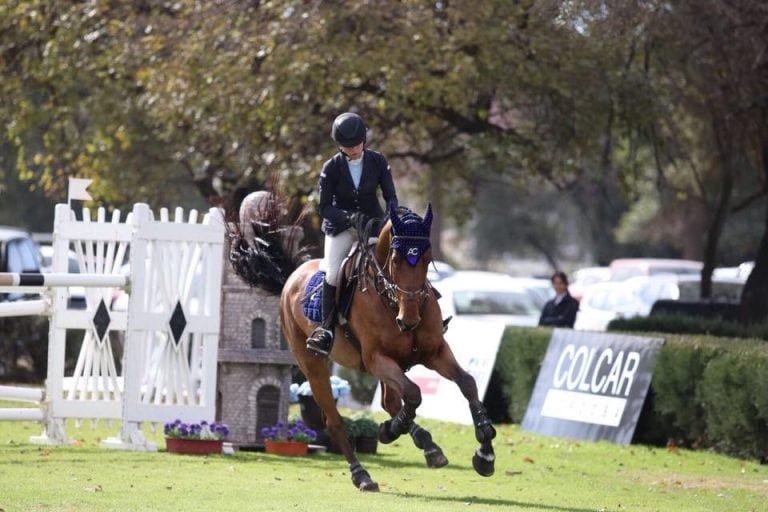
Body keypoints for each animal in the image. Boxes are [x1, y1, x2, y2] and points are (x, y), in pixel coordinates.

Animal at [228, 193, 498, 492]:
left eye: (427, 258)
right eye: (395, 259)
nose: (409, 320)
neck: (391, 301)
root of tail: (292, 276)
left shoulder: (435, 352)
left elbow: (467, 383)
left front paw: (485, 452)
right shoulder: (376, 359)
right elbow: (414, 394)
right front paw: (389, 431)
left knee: (390, 402)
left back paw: (427, 446)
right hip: (313, 364)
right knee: (335, 420)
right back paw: (363, 474)